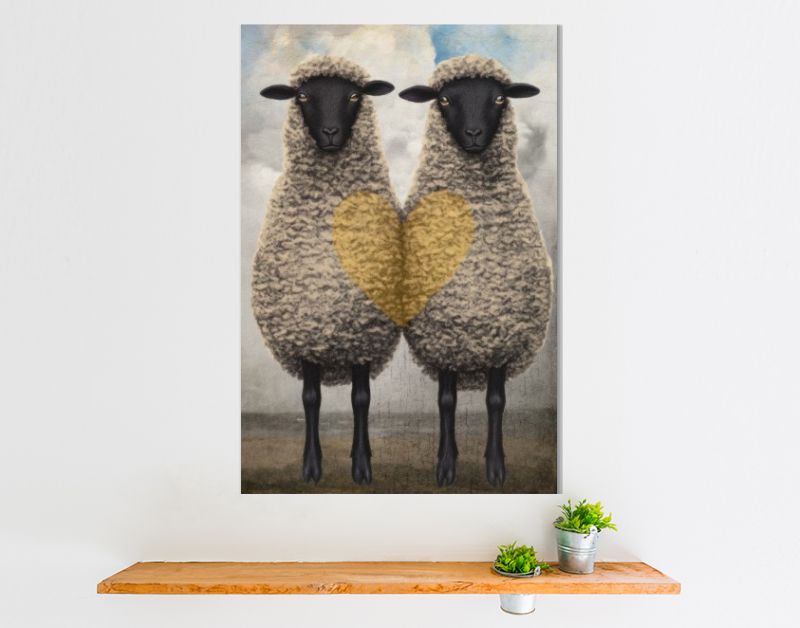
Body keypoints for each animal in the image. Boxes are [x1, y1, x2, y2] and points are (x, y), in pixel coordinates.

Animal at [253, 55, 402, 486]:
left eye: (354, 95)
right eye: (303, 96)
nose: (331, 133)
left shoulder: (365, 334)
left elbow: (361, 399)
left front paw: (362, 465)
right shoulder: (306, 332)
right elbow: (311, 399)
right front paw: (312, 465)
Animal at [399, 55, 553, 488]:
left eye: (499, 98)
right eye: (445, 99)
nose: (473, 134)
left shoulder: (502, 337)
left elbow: (496, 401)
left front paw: (495, 466)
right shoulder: (444, 339)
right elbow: (446, 401)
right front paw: (446, 464)